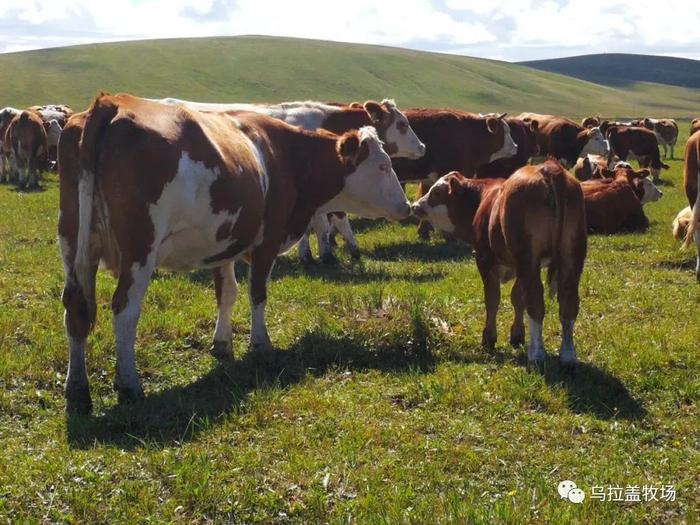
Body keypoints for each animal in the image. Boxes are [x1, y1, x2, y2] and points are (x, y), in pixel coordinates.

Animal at [412, 162, 588, 366]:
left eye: (436, 193)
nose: (415, 205)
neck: (484, 199)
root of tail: (549, 168)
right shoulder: (519, 267)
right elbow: (517, 297)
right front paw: (517, 335)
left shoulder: (486, 260)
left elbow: (492, 299)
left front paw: (489, 338)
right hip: (571, 255)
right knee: (568, 302)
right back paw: (568, 355)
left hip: (529, 256)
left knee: (535, 301)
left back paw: (536, 354)